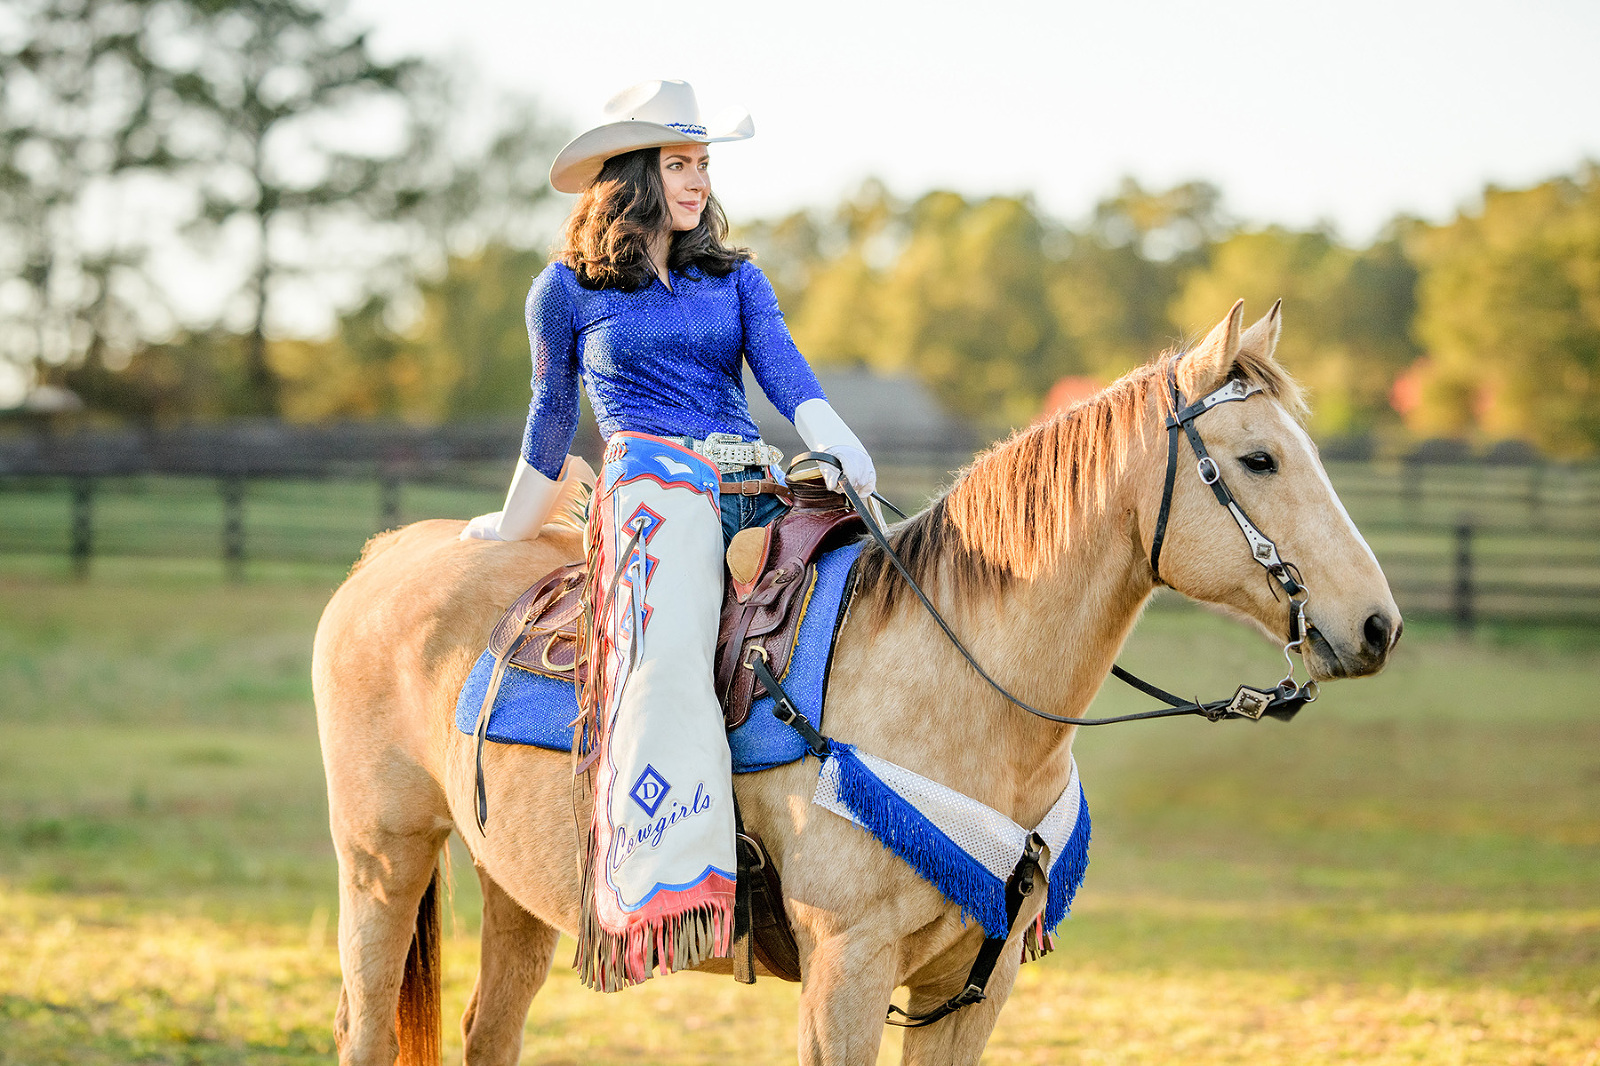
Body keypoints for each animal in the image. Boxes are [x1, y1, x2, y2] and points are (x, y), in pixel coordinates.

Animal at [312, 300, 1401, 1062]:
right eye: (1256, 459)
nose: (1377, 625)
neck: (967, 694)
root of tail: (382, 556)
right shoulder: (847, 969)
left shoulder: (971, 986)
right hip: (381, 860)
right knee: (368, 1029)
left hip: (515, 889)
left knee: (487, 1032)